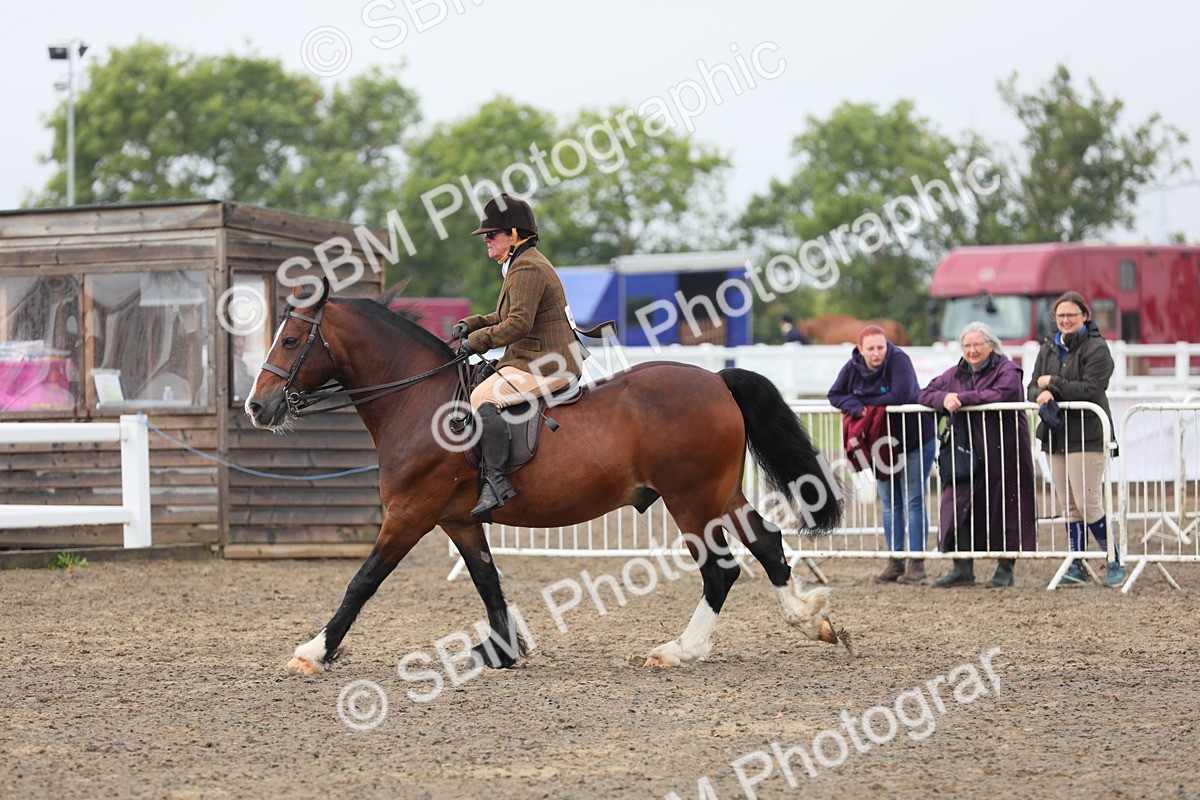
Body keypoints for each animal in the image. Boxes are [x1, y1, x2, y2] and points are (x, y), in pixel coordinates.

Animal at [245, 280, 844, 675]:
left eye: (291, 341)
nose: (257, 406)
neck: (419, 402)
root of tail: (716, 379)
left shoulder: (410, 515)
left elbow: (362, 582)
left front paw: (314, 651)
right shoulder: (458, 520)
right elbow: (488, 582)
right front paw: (502, 650)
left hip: (690, 499)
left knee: (721, 570)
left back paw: (680, 650)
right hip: (719, 492)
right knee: (766, 541)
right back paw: (809, 619)